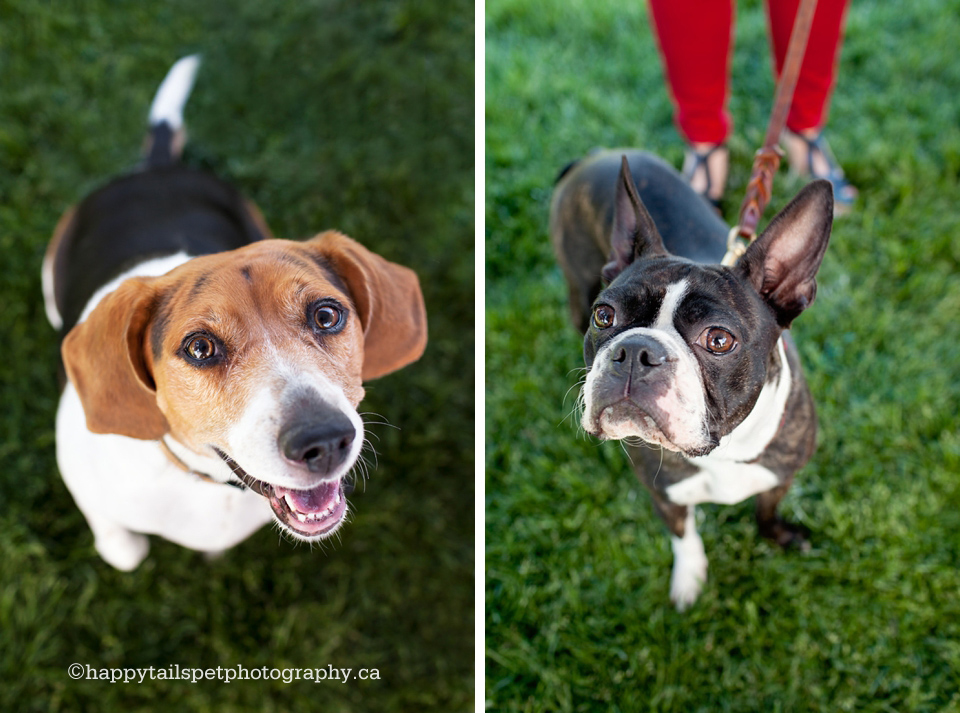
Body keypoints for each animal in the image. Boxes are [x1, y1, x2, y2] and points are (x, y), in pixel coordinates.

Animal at [44, 55, 428, 572]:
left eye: (327, 316)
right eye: (200, 347)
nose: (325, 440)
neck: (205, 481)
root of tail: (157, 168)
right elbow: (123, 549)